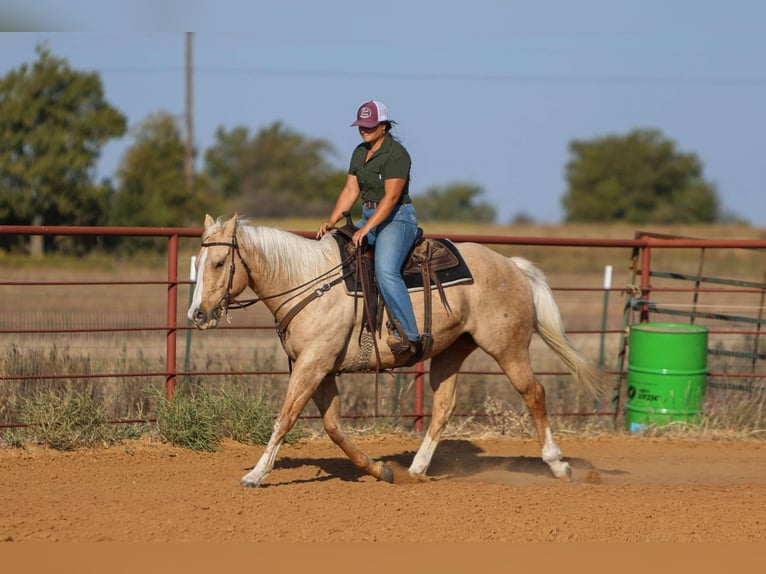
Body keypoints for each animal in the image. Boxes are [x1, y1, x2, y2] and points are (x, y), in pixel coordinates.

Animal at [188, 213, 607, 487]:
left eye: (220, 262)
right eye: (201, 260)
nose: (197, 314)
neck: (308, 280)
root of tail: (513, 266)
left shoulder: (312, 365)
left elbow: (286, 418)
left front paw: (256, 474)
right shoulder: (317, 368)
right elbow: (333, 426)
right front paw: (379, 469)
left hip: (509, 348)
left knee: (534, 393)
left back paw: (557, 465)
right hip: (451, 351)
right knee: (444, 406)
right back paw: (417, 470)